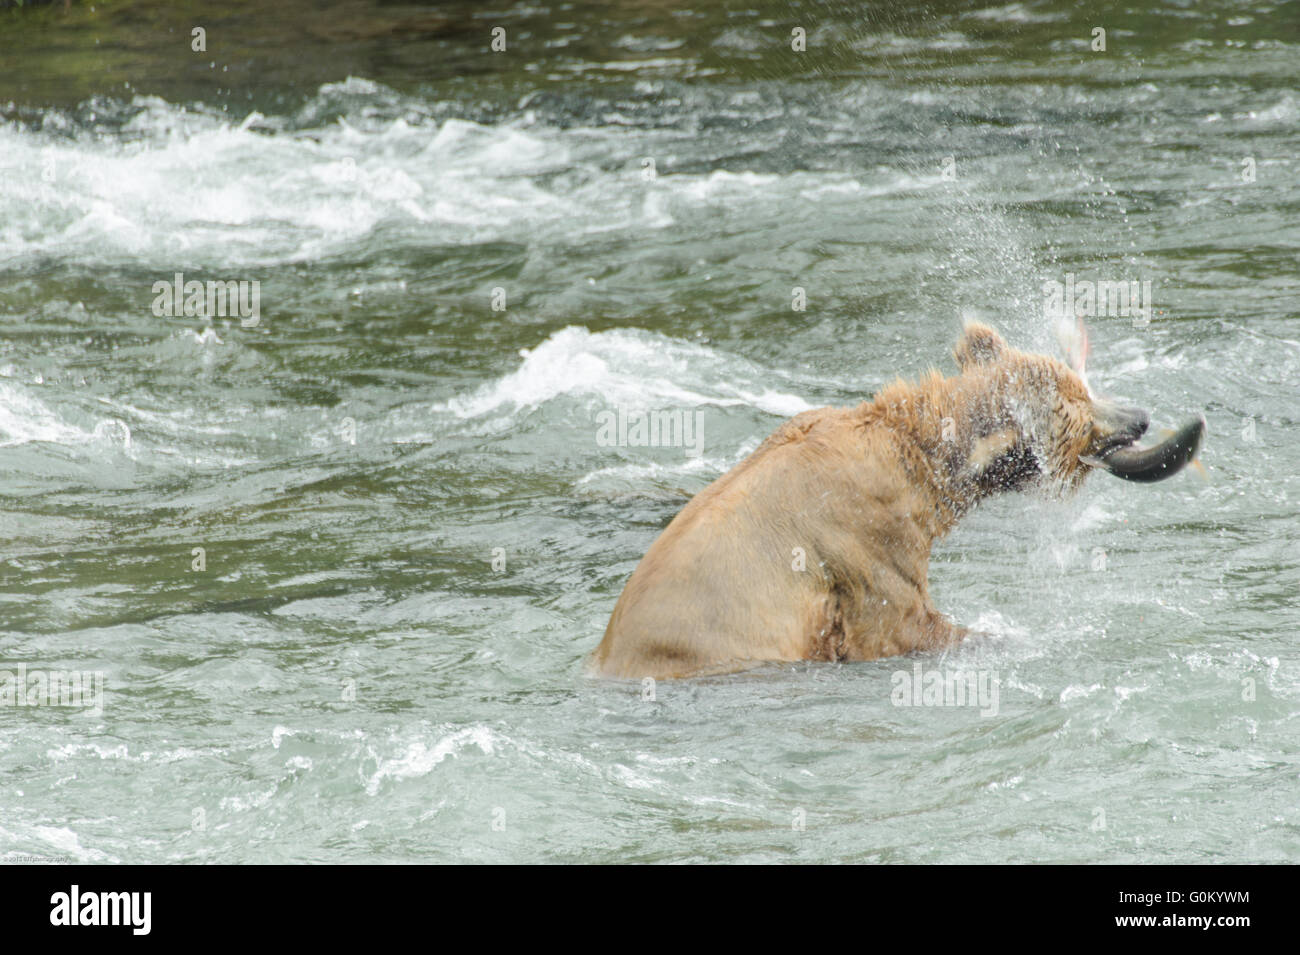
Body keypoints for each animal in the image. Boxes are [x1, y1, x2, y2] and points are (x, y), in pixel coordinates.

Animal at [590, 322, 1204, 679]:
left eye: (1084, 388)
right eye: (1079, 411)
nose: (1140, 416)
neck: (924, 467)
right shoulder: (862, 541)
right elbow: (902, 623)